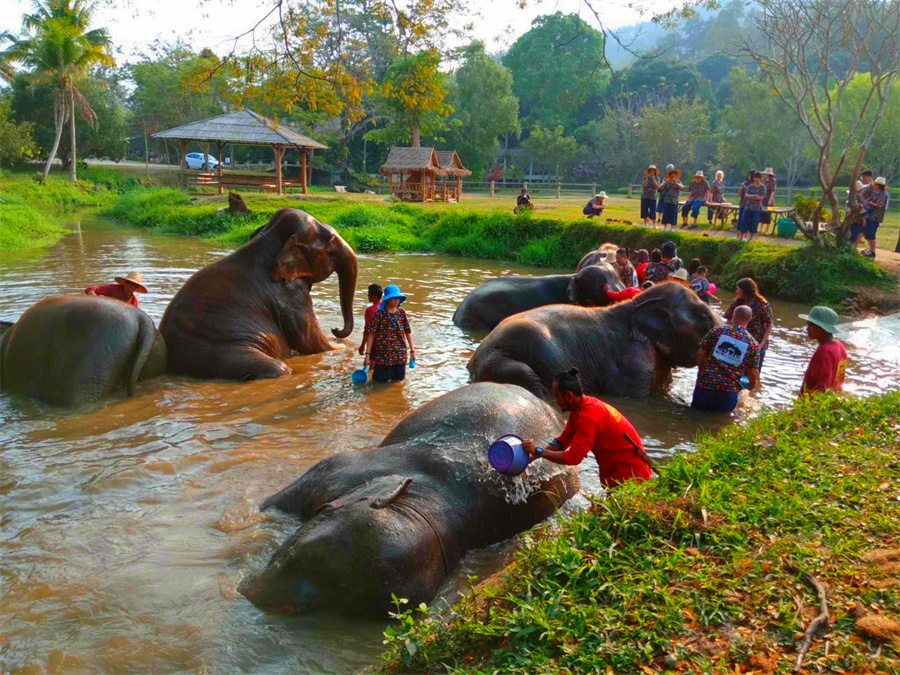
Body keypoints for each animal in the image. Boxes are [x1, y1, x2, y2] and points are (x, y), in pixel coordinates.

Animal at [160, 207, 356, 380]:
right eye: (330, 244)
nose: (335, 329)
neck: (268, 238)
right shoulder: (289, 294)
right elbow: (309, 340)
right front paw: (341, 347)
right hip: (223, 354)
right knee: (278, 368)